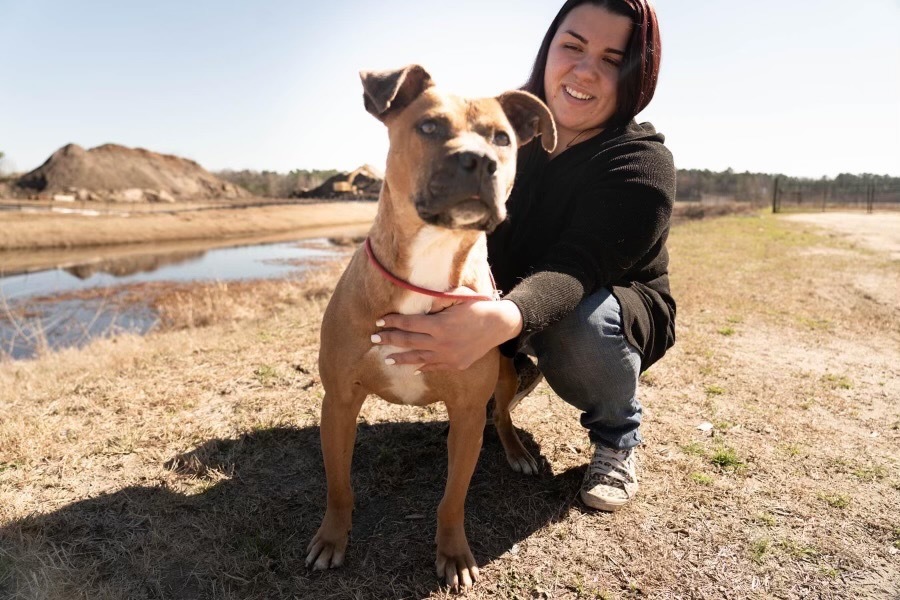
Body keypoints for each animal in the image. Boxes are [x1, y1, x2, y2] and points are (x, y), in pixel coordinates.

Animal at [310, 63, 556, 588]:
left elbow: (453, 498)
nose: (480, 161)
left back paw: (516, 450)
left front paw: (454, 554)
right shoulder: (338, 402)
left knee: (501, 416)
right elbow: (339, 485)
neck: (430, 258)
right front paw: (332, 539)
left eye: (501, 138)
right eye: (429, 127)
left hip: (505, 372)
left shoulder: (466, 414)